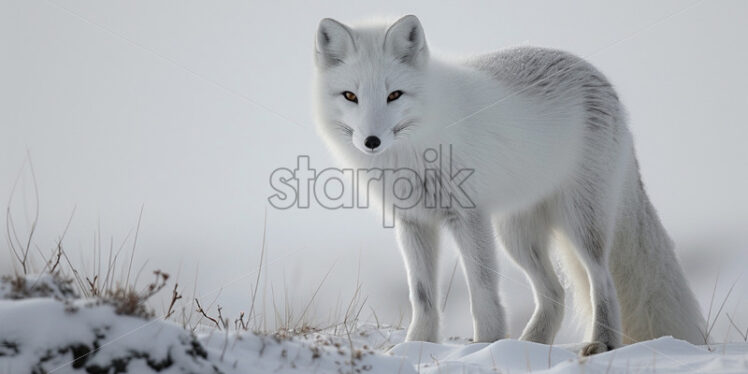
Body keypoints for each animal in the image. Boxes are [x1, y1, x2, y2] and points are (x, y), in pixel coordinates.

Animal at [312, 13, 708, 354]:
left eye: (394, 95)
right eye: (351, 96)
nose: (371, 141)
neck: (415, 149)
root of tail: (598, 77)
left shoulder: (468, 217)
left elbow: (482, 289)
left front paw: (485, 344)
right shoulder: (413, 222)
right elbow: (422, 295)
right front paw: (416, 346)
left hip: (580, 224)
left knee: (602, 280)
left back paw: (601, 344)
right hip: (516, 236)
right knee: (556, 294)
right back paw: (529, 345)